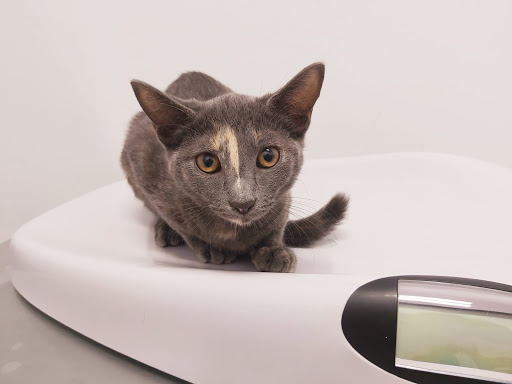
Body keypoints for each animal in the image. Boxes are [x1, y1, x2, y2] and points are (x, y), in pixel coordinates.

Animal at [122, 63, 350, 272]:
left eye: (268, 156)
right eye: (207, 162)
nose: (243, 203)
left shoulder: (283, 196)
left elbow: (280, 218)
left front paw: (273, 249)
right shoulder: (144, 161)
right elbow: (179, 223)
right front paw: (211, 247)